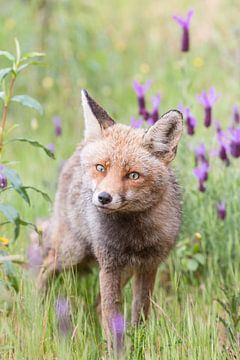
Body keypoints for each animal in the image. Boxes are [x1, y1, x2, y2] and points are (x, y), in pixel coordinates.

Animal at [37, 89, 183, 352]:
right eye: (101, 168)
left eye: (133, 175)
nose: (104, 197)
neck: (134, 236)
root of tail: (81, 147)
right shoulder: (109, 265)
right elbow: (111, 316)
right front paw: (116, 352)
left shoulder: (149, 266)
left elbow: (139, 315)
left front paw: (138, 346)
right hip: (71, 253)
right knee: (43, 268)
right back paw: (34, 304)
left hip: (121, 270)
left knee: (96, 304)